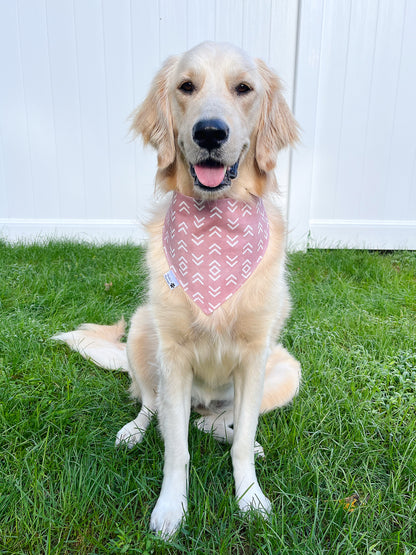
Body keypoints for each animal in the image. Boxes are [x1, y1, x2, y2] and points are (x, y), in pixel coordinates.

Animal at [54, 42, 302, 540]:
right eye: (186, 86)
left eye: (244, 88)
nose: (209, 132)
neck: (216, 227)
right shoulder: (173, 355)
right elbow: (176, 450)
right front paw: (171, 509)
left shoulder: (256, 356)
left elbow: (240, 440)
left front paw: (250, 499)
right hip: (142, 331)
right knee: (155, 410)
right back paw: (134, 431)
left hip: (287, 371)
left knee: (219, 424)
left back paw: (231, 433)